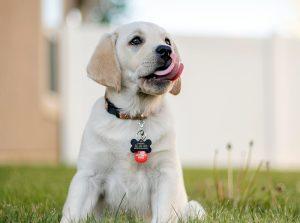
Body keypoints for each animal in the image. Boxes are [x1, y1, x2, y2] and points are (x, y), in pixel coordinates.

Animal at [61, 21, 206, 223]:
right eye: (136, 40)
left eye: (167, 40)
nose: (167, 50)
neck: (135, 116)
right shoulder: (88, 175)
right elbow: (72, 212)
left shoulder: (166, 173)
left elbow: (163, 214)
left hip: (194, 207)